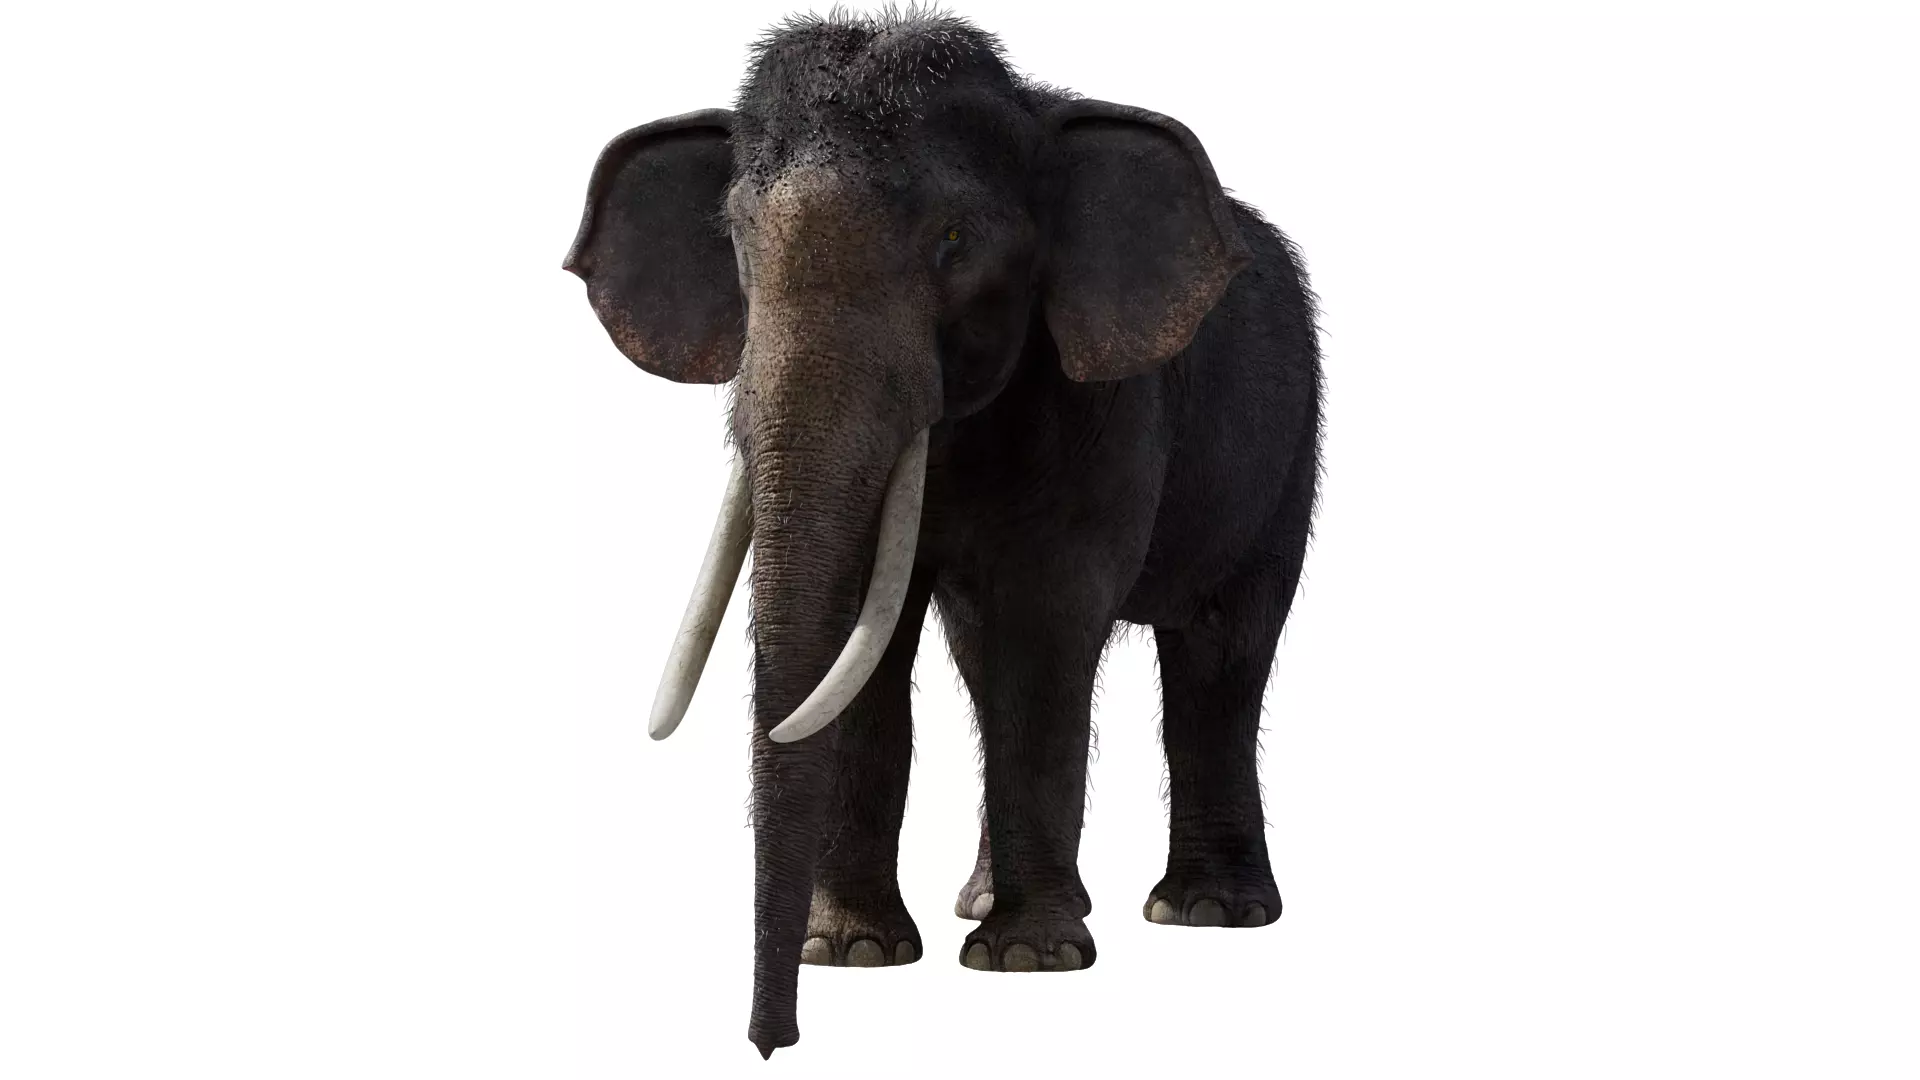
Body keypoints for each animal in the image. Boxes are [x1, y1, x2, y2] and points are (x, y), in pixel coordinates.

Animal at [563, 10, 1322, 1058]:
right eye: (737, 238)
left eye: (955, 242)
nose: (769, 1042)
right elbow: (871, 646)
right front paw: (850, 954)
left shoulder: (1104, 406)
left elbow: (1047, 627)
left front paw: (1028, 964)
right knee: (982, 654)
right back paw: (986, 900)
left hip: (1285, 453)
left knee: (1222, 652)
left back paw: (1206, 913)